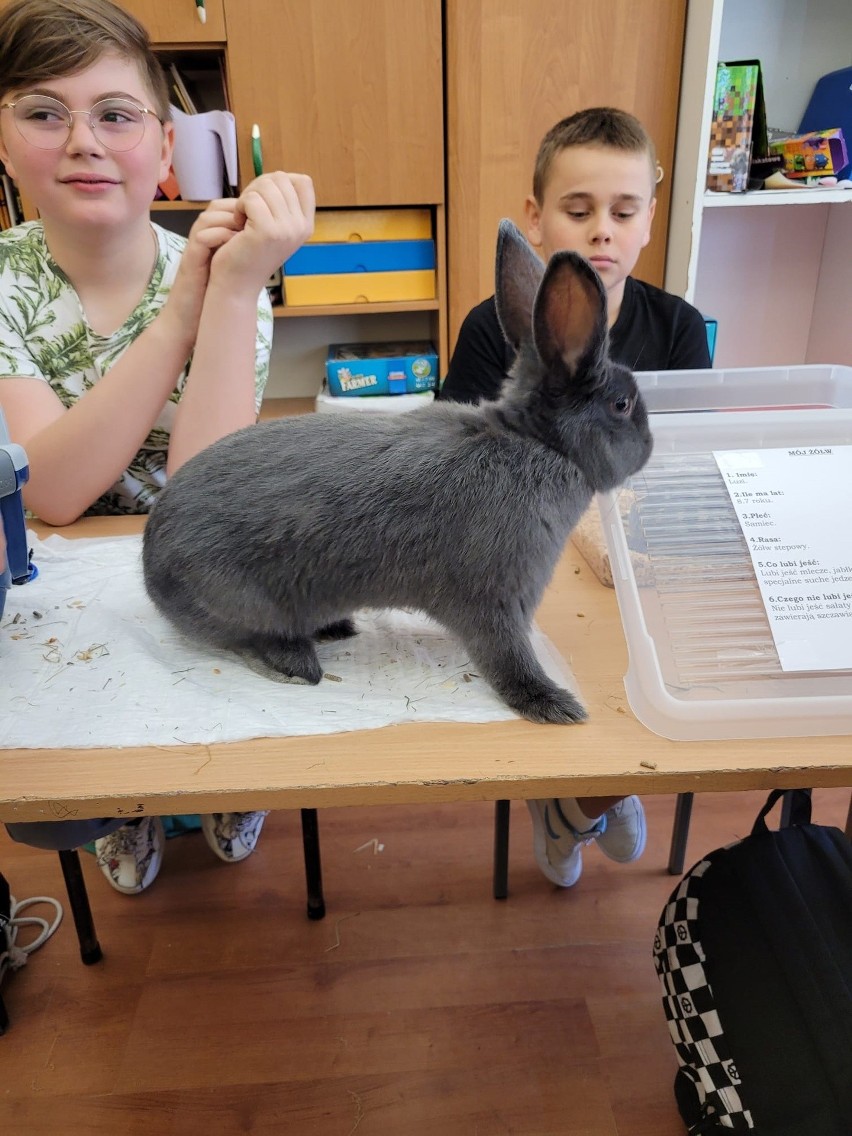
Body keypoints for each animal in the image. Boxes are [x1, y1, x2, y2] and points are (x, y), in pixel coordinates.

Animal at [145, 216, 654, 722]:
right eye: (623, 404)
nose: (650, 447)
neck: (538, 442)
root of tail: (150, 567)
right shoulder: (496, 602)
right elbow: (507, 658)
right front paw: (553, 704)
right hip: (245, 603)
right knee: (251, 639)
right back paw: (297, 663)